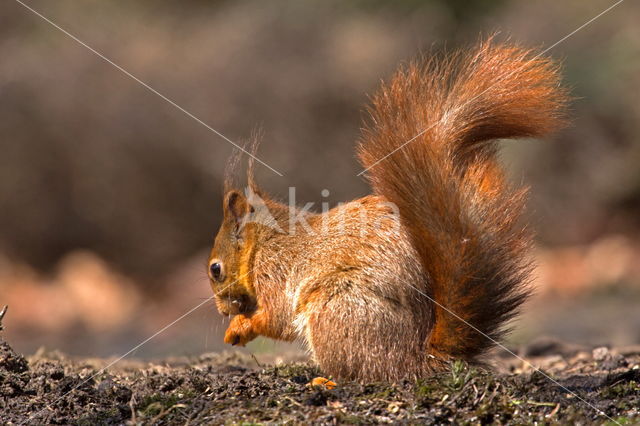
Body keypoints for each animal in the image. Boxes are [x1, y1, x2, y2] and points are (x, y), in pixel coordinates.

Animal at [204, 38, 564, 382]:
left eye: (215, 269)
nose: (222, 311)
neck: (263, 242)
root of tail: (418, 359)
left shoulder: (274, 271)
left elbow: (276, 317)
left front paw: (239, 327)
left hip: (334, 310)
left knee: (364, 372)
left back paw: (327, 381)